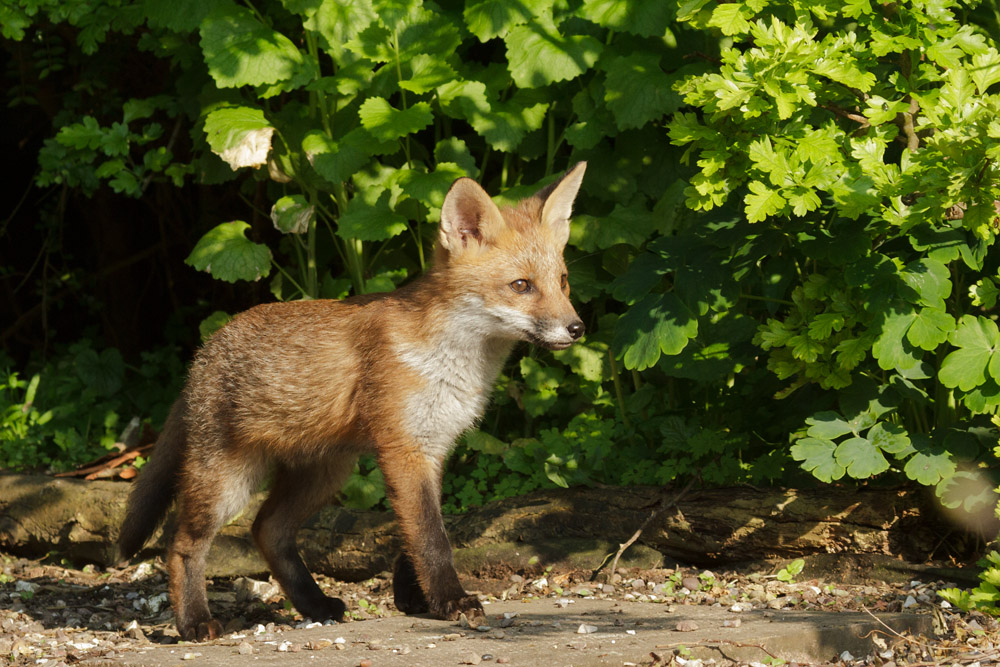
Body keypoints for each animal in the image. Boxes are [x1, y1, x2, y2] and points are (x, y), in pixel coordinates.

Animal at [117, 162, 588, 641]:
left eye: (563, 281)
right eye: (521, 285)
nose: (577, 329)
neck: (451, 363)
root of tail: (203, 351)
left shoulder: (433, 448)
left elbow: (418, 532)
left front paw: (415, 597)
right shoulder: (403, 448)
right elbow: (432, 538)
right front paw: (451, 601)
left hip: (325, 473)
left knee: (266, 529)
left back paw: (314, 604)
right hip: (229, 482)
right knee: (181, 545)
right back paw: (194, 621)